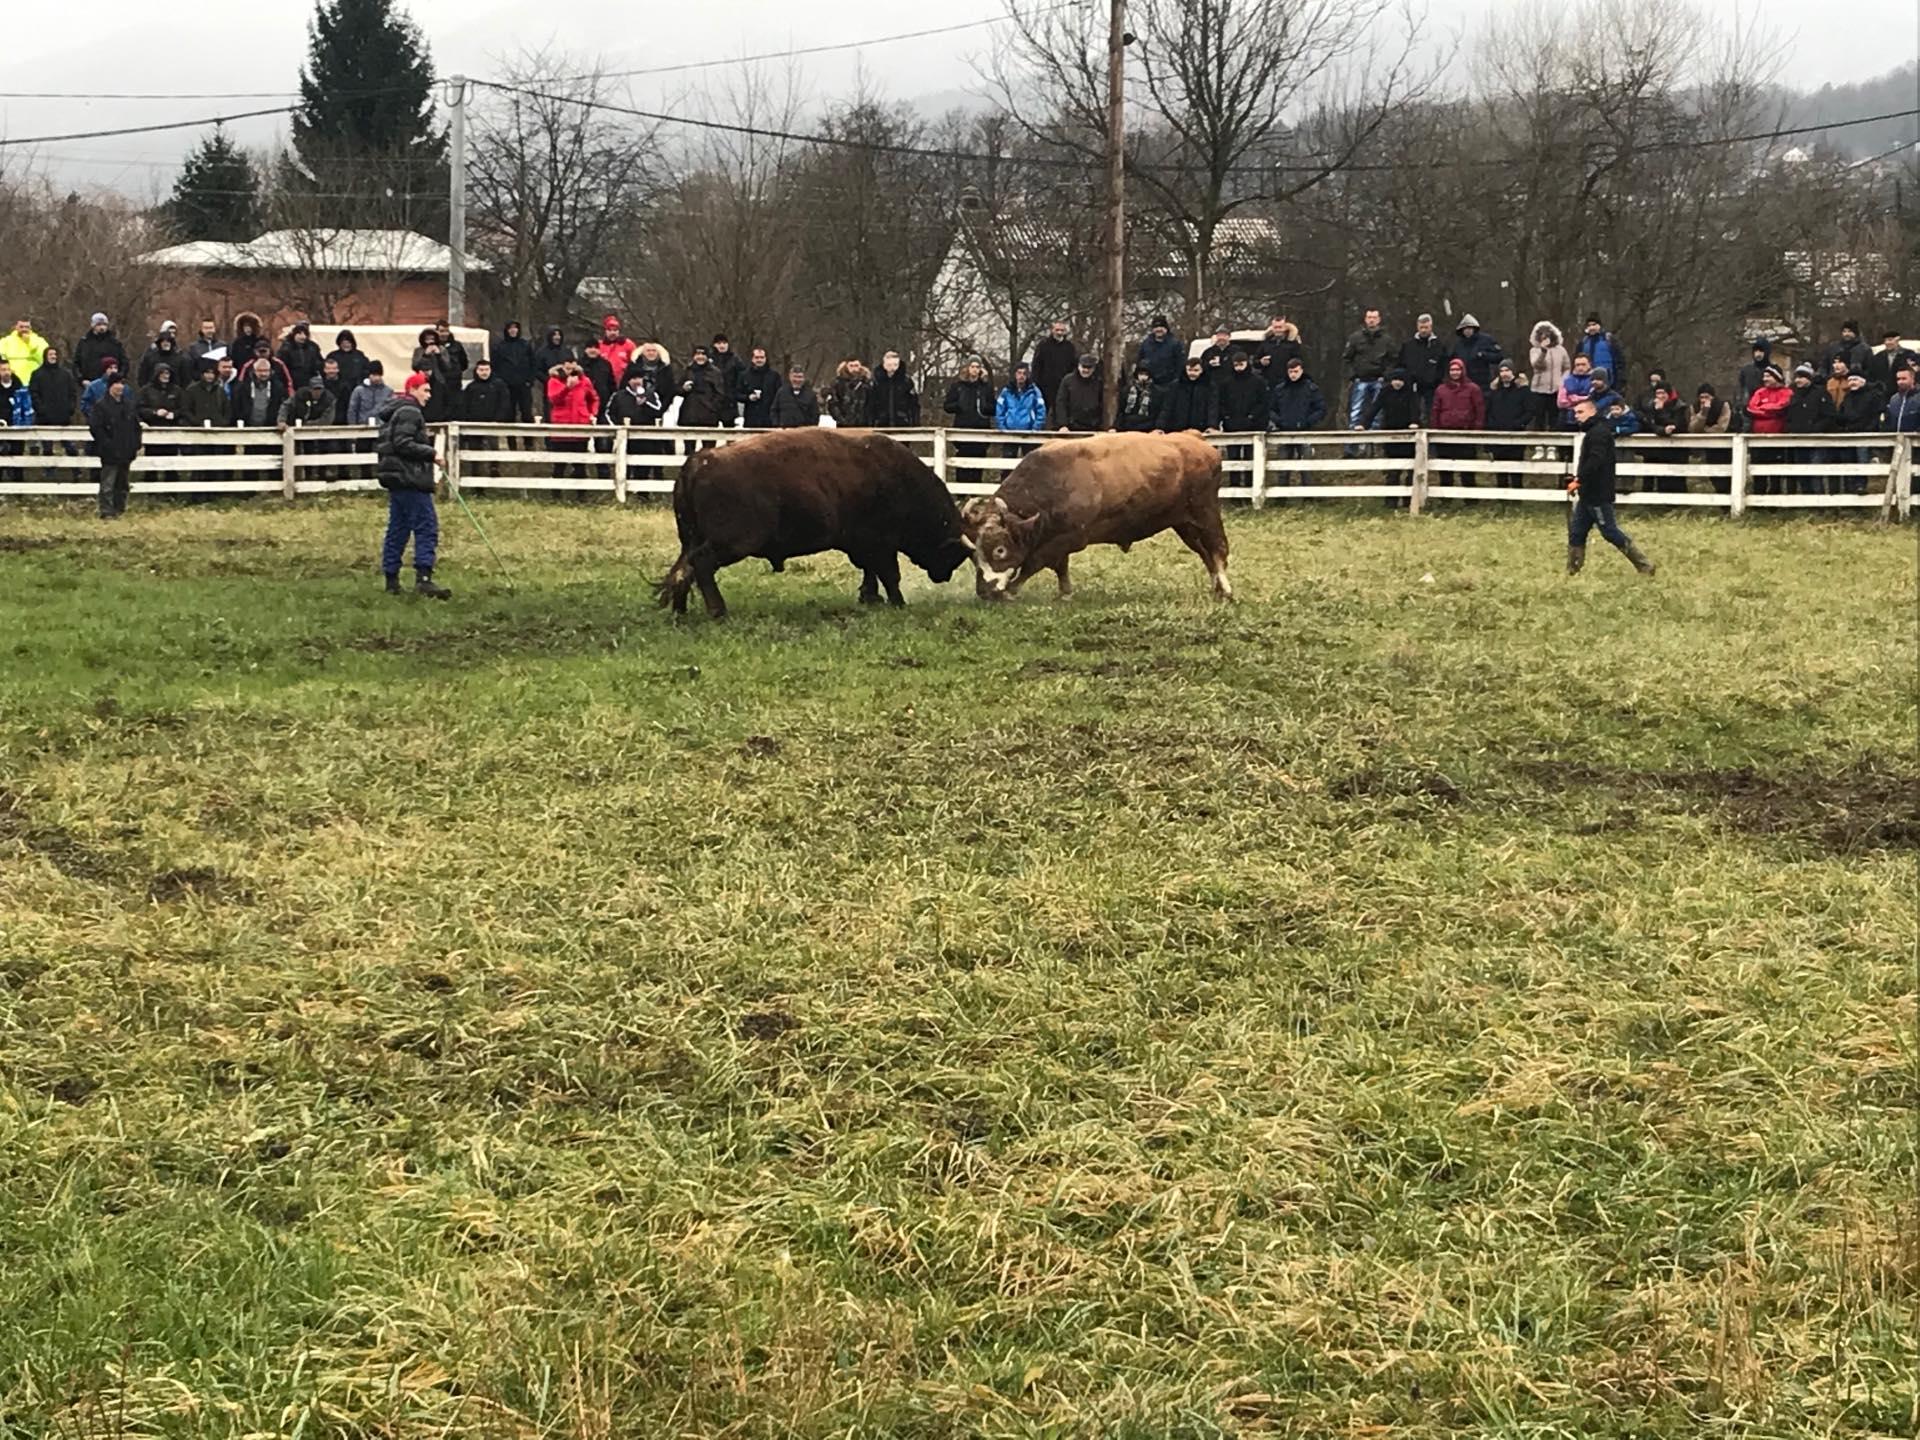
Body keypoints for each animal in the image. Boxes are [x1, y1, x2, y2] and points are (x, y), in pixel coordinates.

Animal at [656, 422, 975, 614]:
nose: (943, 575)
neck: (899, 477)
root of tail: (699, 462)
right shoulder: (880, 543)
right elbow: (888, 574)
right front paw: (897, 602)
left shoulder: (864, 545)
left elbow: (870, 572)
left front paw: (870, 597)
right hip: (732, 544)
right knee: (701, 564)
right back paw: (717, 610)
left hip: (692, 540)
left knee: (683, 569)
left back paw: (680, 610)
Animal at [960, 433, 1228, 602]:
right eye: (973, 554)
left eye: (1000, 550)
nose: (984, 591)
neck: (1054, 480)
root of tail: (1197, 442)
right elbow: (1060, 566)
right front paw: (1065, 593)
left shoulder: (1071, 537)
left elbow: (1035, 562)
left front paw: (1011, 590)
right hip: (1184, 524)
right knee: (1204, 552)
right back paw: (1216, 586)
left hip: (1206, 513)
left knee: (1217, 548)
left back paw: (1226, 589)